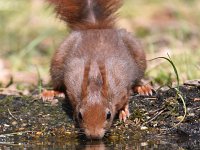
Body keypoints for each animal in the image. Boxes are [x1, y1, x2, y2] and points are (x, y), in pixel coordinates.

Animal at [44, 0, 152, 139]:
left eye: (108, 115)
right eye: (80, 115)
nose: (94, 136)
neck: (94, 81)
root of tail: (95, 27)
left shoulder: (121, 88)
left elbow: (126, 98)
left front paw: (123, 111)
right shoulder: (73, 87)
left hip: (138, 55)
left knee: (138, 78)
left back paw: (142, 87)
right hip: (58, 61)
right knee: (57, 82)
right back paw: (51, 92)